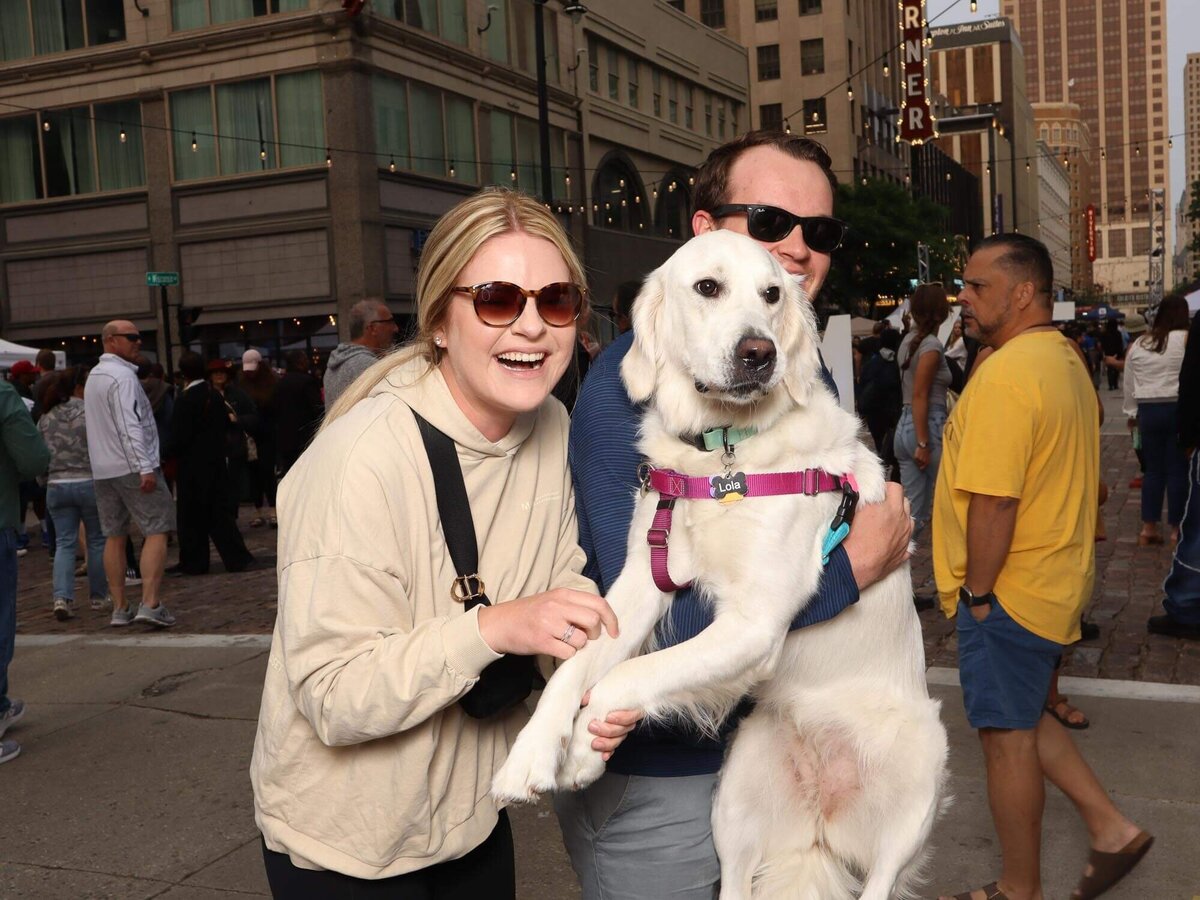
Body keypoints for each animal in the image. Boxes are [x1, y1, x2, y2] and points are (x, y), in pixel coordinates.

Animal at [492, 230, 950, 897]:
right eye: (708, 287)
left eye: (772, 294)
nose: (759, 354)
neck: (724, 456)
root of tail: (823, 816)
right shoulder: (643, 581)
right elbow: (577, 666)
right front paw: (531, 754)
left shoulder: (754, 624)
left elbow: (628, 675)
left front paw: (583, 748)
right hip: (735, 808)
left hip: (913, 800)